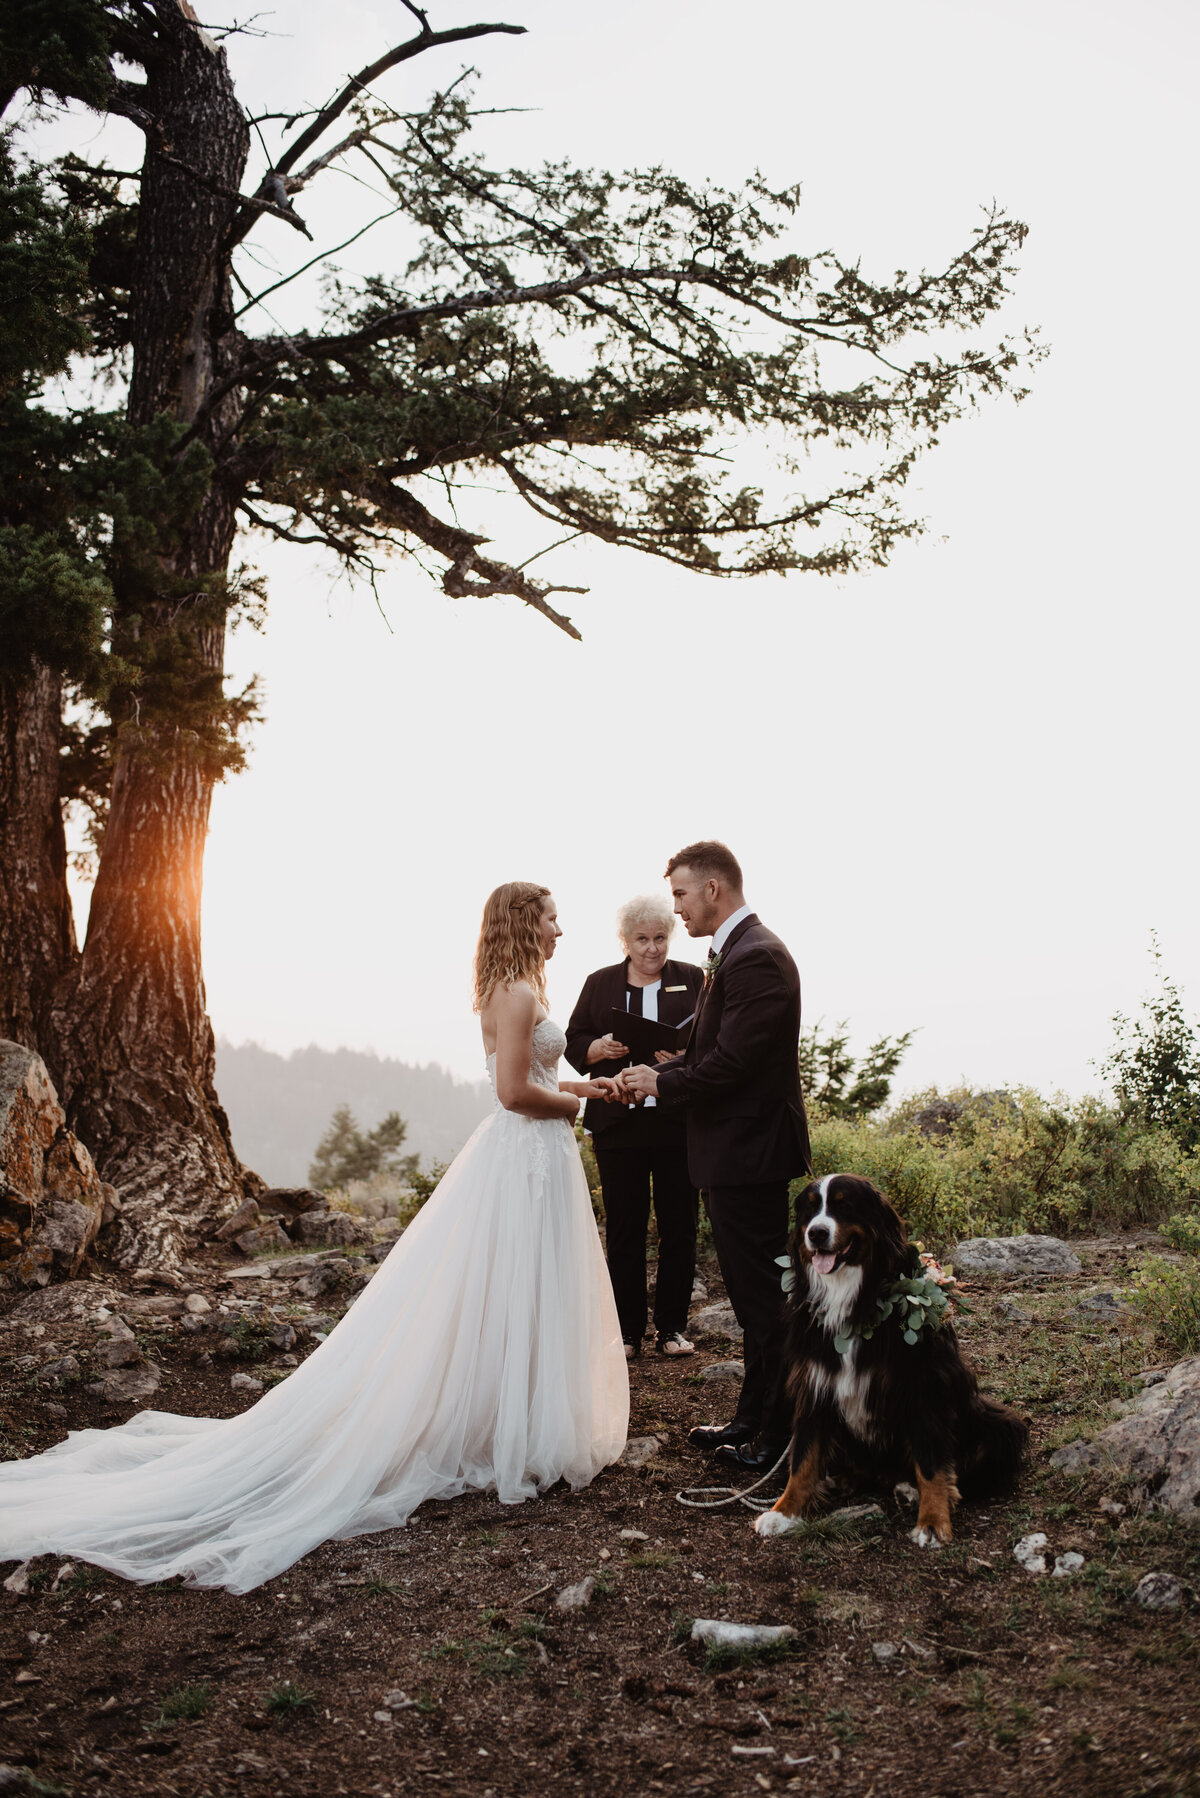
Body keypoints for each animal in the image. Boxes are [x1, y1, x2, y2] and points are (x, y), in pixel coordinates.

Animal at [755, 1179, 1029, 1546]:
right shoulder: (816, 1384)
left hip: (999, 1424)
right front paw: (783, 1512)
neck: (850, 1299)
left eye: (844, 1205)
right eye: (811, 1207)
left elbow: (931, 1463)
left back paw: (914, 1490)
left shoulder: (921, 1387)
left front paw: (933, 1521)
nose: (816, 1233)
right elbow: (803, 1458)